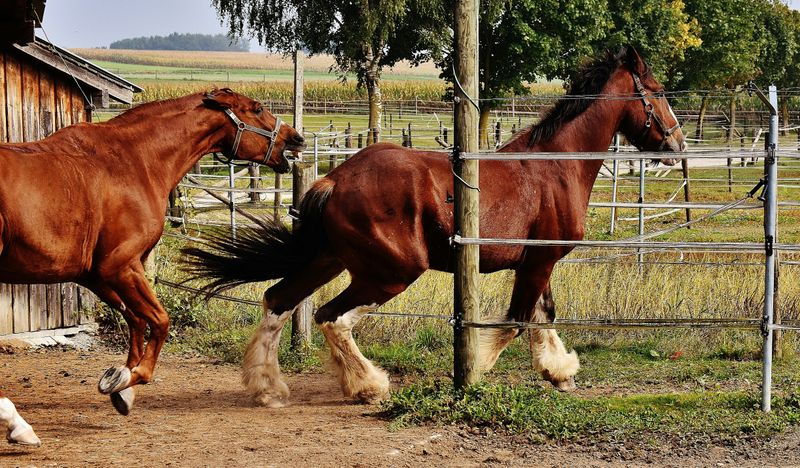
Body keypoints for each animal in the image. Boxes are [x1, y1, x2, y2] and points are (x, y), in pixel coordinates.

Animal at [0, 88, 305, 444]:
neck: (134, 161)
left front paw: (121, 386)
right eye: (256, 109)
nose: (295, 138)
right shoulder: (120, 266)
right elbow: (159, 320)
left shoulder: (97, 275)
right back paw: (18, 424)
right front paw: (131, 378)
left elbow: (136, 320)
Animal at [184, 46, 686, 407]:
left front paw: (560, 373)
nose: (678, 145)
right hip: (391, 271)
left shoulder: (536, 262)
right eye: (659, 91)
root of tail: (335, 178)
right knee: (332, 317)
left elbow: (543, 315)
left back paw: (267, 389)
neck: (554, 166)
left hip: (330, 260)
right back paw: (368, 386)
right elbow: (516, 321)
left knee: (278, 300)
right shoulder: (539, 261)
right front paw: (477, 372)